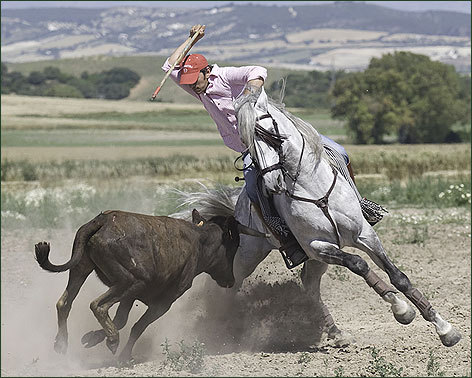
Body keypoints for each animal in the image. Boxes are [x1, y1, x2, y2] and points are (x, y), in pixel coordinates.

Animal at [36, 208, 266, 362]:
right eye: (234, 245)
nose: (230, 280)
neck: (200, 241)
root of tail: (103, 220)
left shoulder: (130, 298)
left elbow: (121, 320)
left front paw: (92, 338)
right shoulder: (164, 302)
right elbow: (138, 326)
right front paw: (123, 355)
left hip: (82, 269)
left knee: (64, 303)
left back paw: (62, 343)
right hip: (130, 281)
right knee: (97, 305)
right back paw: (113, 341)